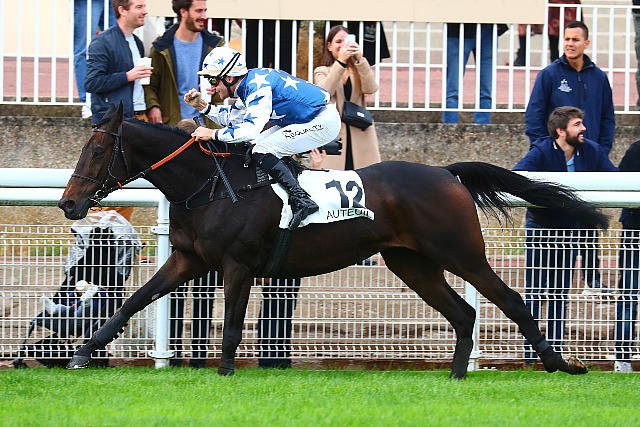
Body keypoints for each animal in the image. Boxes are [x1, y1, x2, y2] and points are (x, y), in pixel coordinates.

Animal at [58, 104, 607, 378]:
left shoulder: (238, 264)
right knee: (463, 312)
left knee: (511, 299)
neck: (210, 184)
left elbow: (233, 324)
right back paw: (456, 373)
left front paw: (227, 372)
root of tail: (446, 172)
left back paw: (560, 364)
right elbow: (134, 300)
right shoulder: (190, 259)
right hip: (411, 263)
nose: (68, 203)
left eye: (97, 151)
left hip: (460, 252)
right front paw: (83, 352)